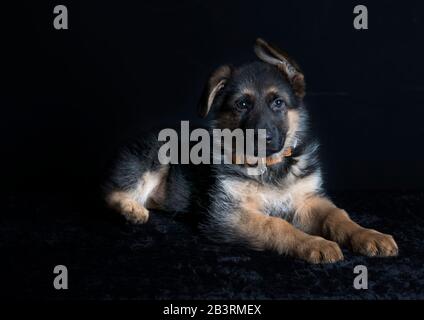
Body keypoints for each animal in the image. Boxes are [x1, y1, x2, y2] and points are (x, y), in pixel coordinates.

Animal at [105, 38, 398, 262]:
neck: (269, 167)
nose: (262, 138)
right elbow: (276, 225)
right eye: (242, 104)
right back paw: (132, 209)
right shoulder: (227, 213)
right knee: (111, 193)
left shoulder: (308, 200)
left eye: (278, 103)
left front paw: (368, 235)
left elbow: (338, 215)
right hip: (154, 156)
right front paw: (315, 243)